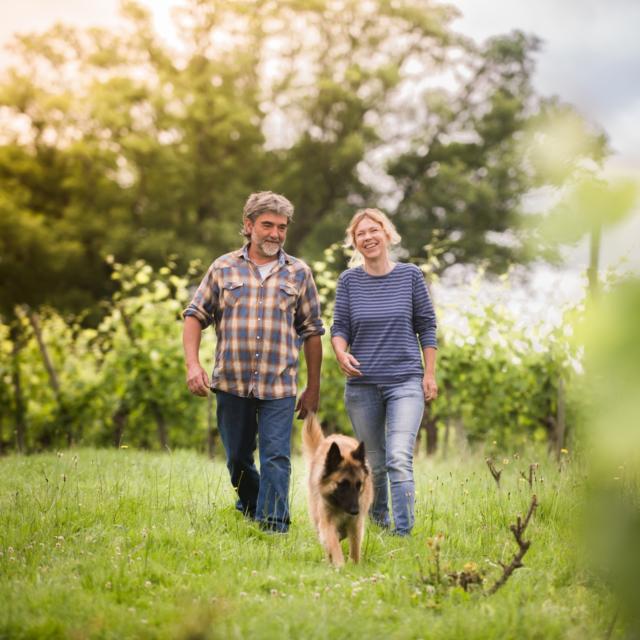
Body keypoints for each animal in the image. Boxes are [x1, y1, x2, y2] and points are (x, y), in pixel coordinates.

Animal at [302, 412, 372, 568]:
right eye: (342, 484)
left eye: (359, 484)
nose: (355, 511)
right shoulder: (327, 523)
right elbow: (334, 545)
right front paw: (340, 565)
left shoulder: (356, 524)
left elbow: (355, 548)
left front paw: (355, 565)